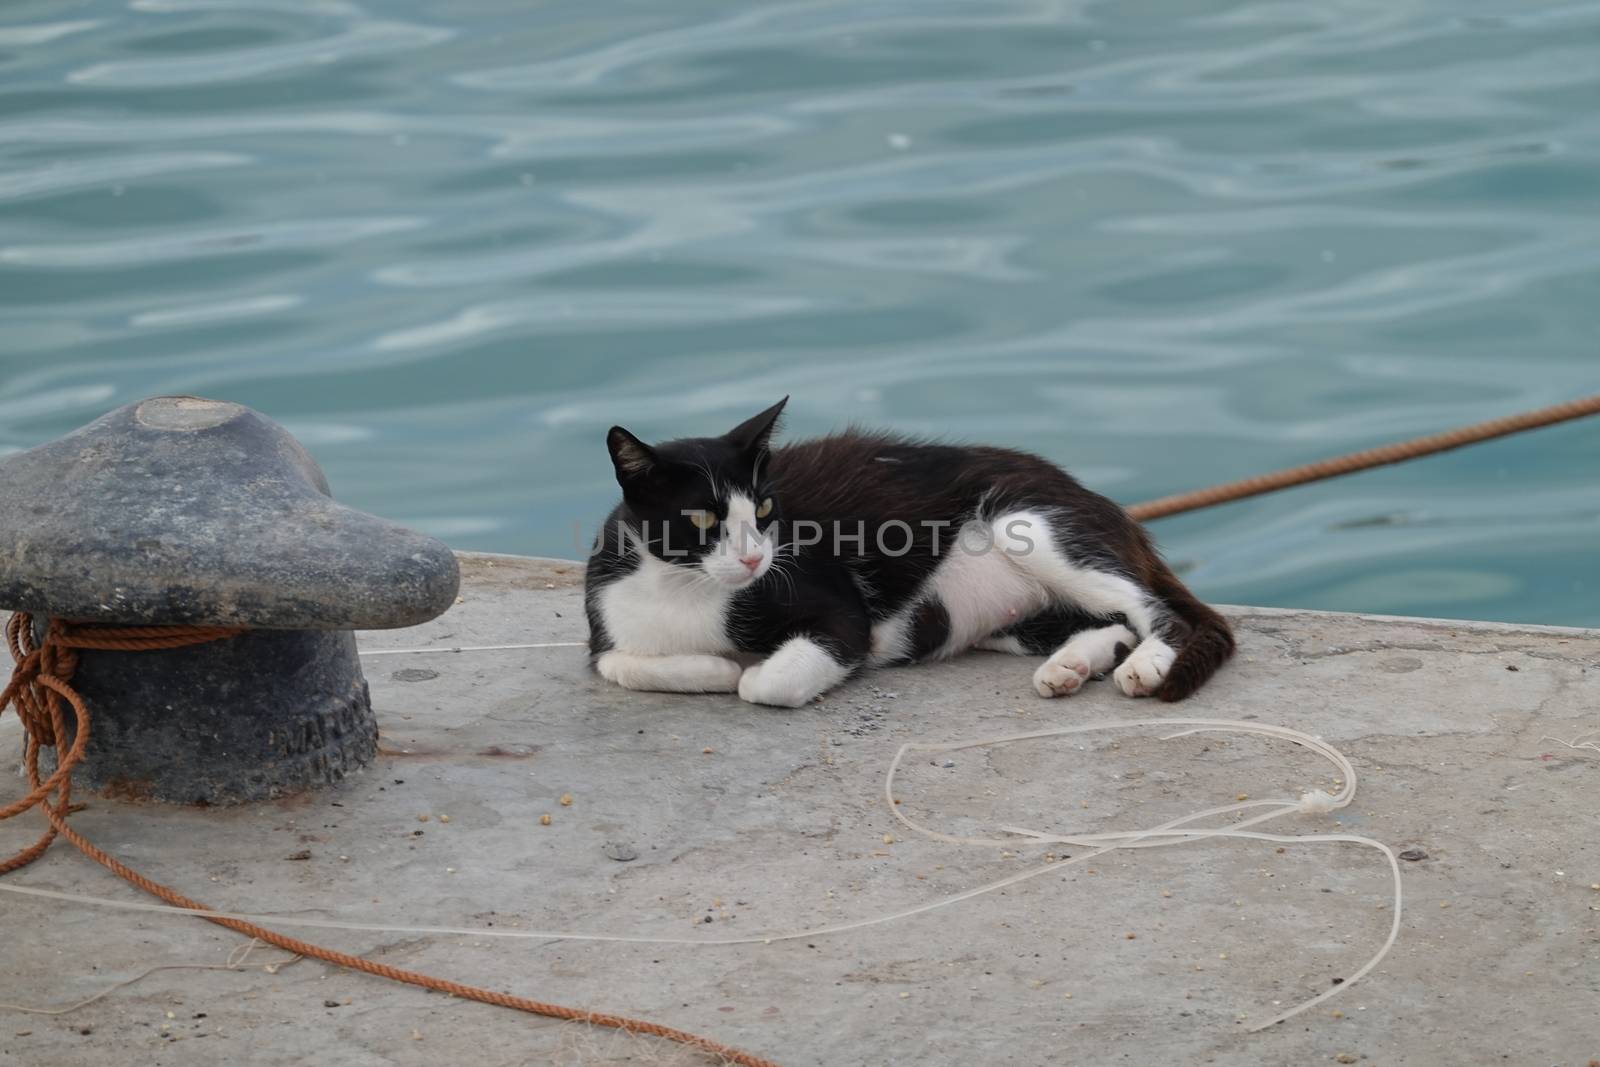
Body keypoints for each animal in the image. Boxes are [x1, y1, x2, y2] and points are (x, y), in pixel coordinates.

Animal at [588, 399, 1235, 710]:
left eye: (766, 509)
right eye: (702, 518)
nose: (754, 562)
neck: (685, 589)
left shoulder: (841, 614)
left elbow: (765, 685)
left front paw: (738, 671)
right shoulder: (605, 625)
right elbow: (616, 663)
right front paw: (717, 667)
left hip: (1028, 522)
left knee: (1158, 612)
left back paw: (1146, 665)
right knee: (1107, 621)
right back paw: (1069, 667)